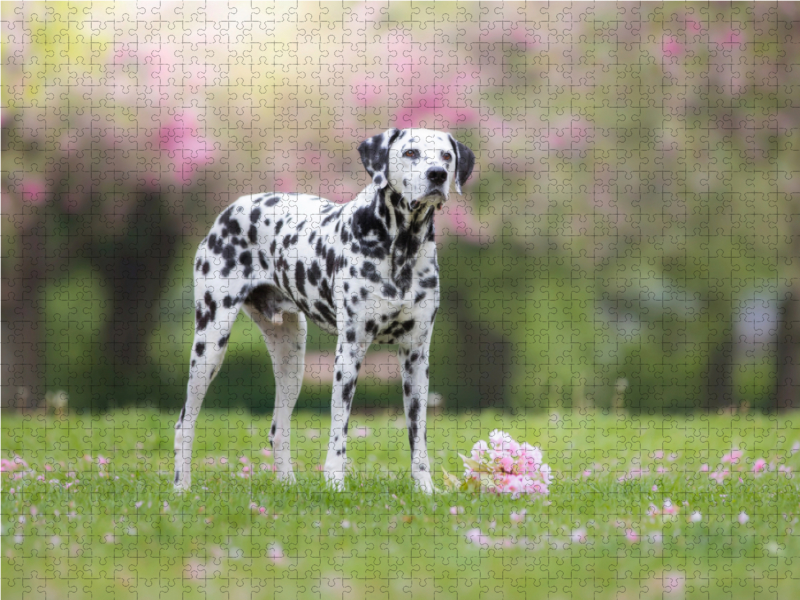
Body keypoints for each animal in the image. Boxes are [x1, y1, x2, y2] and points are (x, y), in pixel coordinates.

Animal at [175, 126, 476, 492]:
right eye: (410, 153)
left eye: (446, 156)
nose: (438, 175)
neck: (401, 247)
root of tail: (231, 209)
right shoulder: (350, 351)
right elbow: (339, 429)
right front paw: (334, 482)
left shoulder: (416, 356)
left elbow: (418, 437)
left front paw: (425, 489)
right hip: (210, 344)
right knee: (184, 423)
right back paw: (181, 487)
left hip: (292, 358)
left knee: (278, 430)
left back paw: (288, 485)